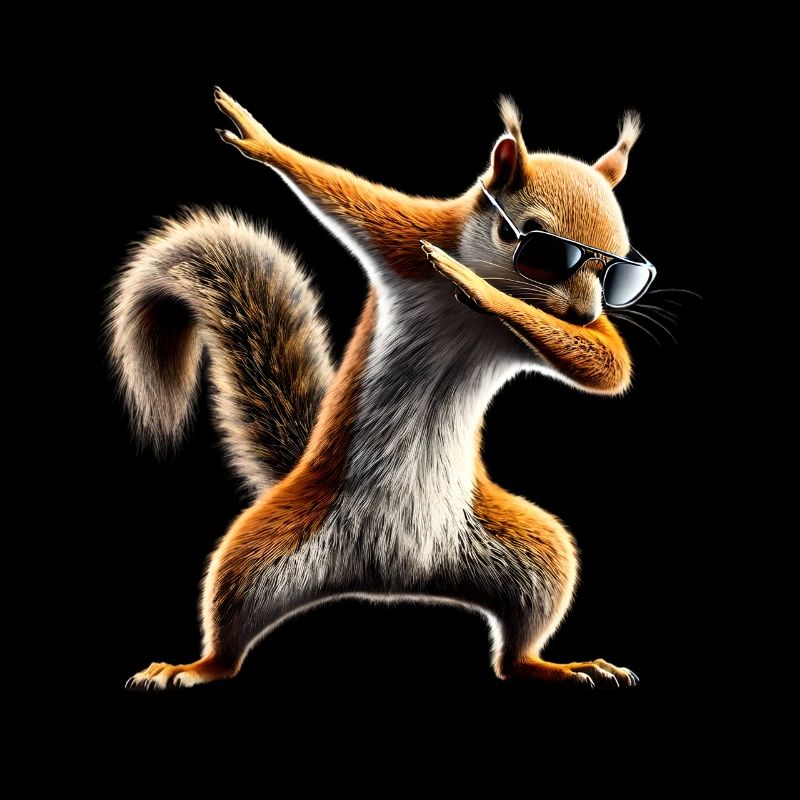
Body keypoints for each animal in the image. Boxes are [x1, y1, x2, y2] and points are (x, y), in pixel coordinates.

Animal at [112, 88, 643, 689]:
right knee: (228, 631)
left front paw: (481, 289)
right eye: (538, 246)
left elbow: (609, 363)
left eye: (618, 272)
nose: (585, 313)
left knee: (515, 653)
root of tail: (392, 577)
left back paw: (557, 666)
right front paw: (261, 140)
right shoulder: (410, 238)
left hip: (532, 557)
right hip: (259, 553)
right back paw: (193, 666)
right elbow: (344, 194)